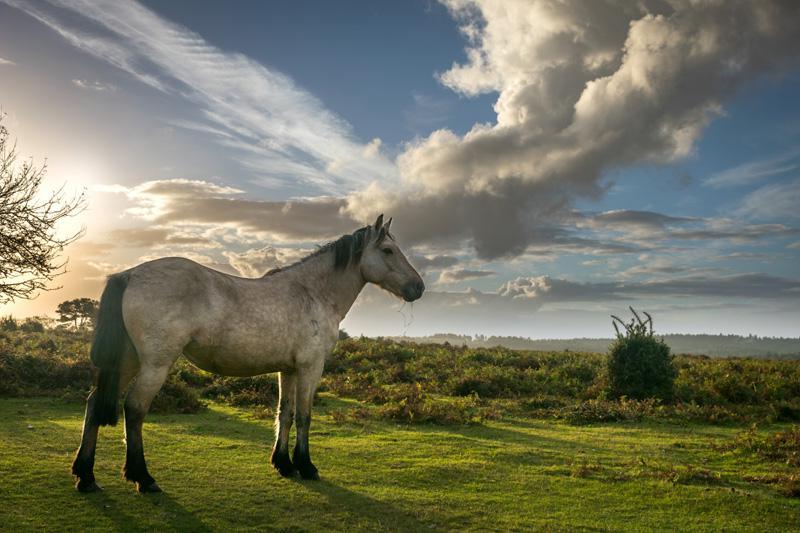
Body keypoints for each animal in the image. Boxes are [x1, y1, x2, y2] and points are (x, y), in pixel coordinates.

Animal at [71, 214, 424, 493]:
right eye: (388, 250)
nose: (418, 287)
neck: (313, 293)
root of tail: (130, 274)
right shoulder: (311, 367)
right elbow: (305, 416)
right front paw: (306, 466)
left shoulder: (289, 369)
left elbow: (285, 413)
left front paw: (283, 464)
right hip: (155, 365)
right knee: (134, 409)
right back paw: (142, 478)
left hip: (128, 361)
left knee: (93, 403)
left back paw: (86, 476)